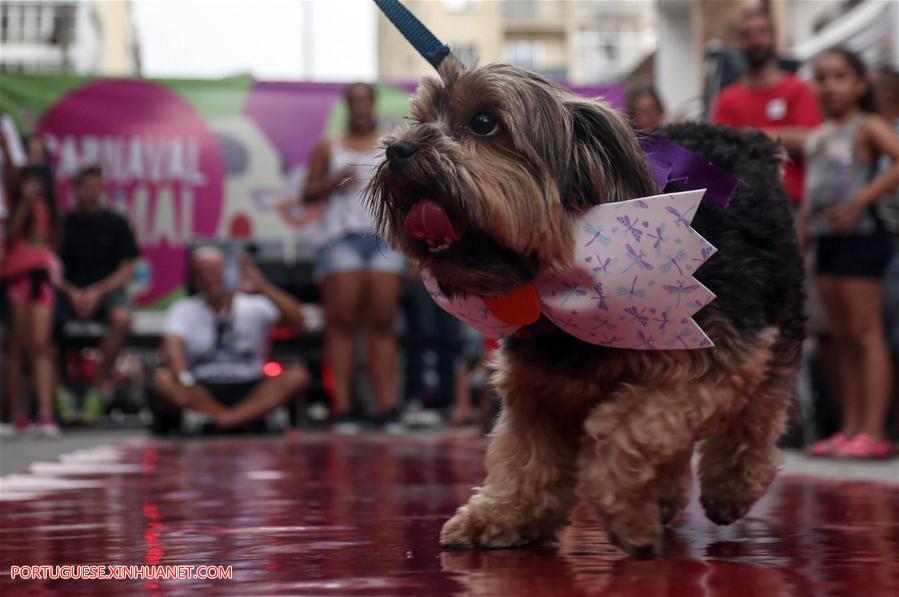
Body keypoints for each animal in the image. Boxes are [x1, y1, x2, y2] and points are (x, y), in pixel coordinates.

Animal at [368, 56, 808, 556]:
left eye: (483, 122)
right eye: (418, 119)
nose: (397, 149)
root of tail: (746, 140)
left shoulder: (710, 363)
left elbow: (622, 433)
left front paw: (627, 517)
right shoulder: (538, 386)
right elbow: (524, 456)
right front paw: (504, 514)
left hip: (776, 320)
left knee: (761, 408)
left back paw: (729, 487)